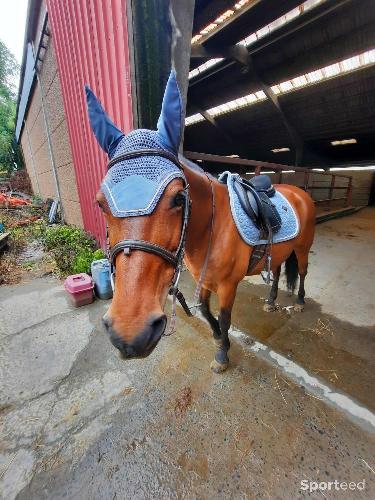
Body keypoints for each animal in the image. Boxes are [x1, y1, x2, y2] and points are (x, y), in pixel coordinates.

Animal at [86, 72, 316, 374]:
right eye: (101, 203)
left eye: (179, 198)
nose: (130, 334)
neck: (213, 229)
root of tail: (299, 192)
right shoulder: (206, 280)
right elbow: (206, 312)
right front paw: (219, 337)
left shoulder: (228, 285)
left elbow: (225, 317)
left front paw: (222, 354)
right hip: (279, 250)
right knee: (276, 271)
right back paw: (270, 302)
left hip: (302, 247)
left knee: (301, 271)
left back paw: (299, 302)